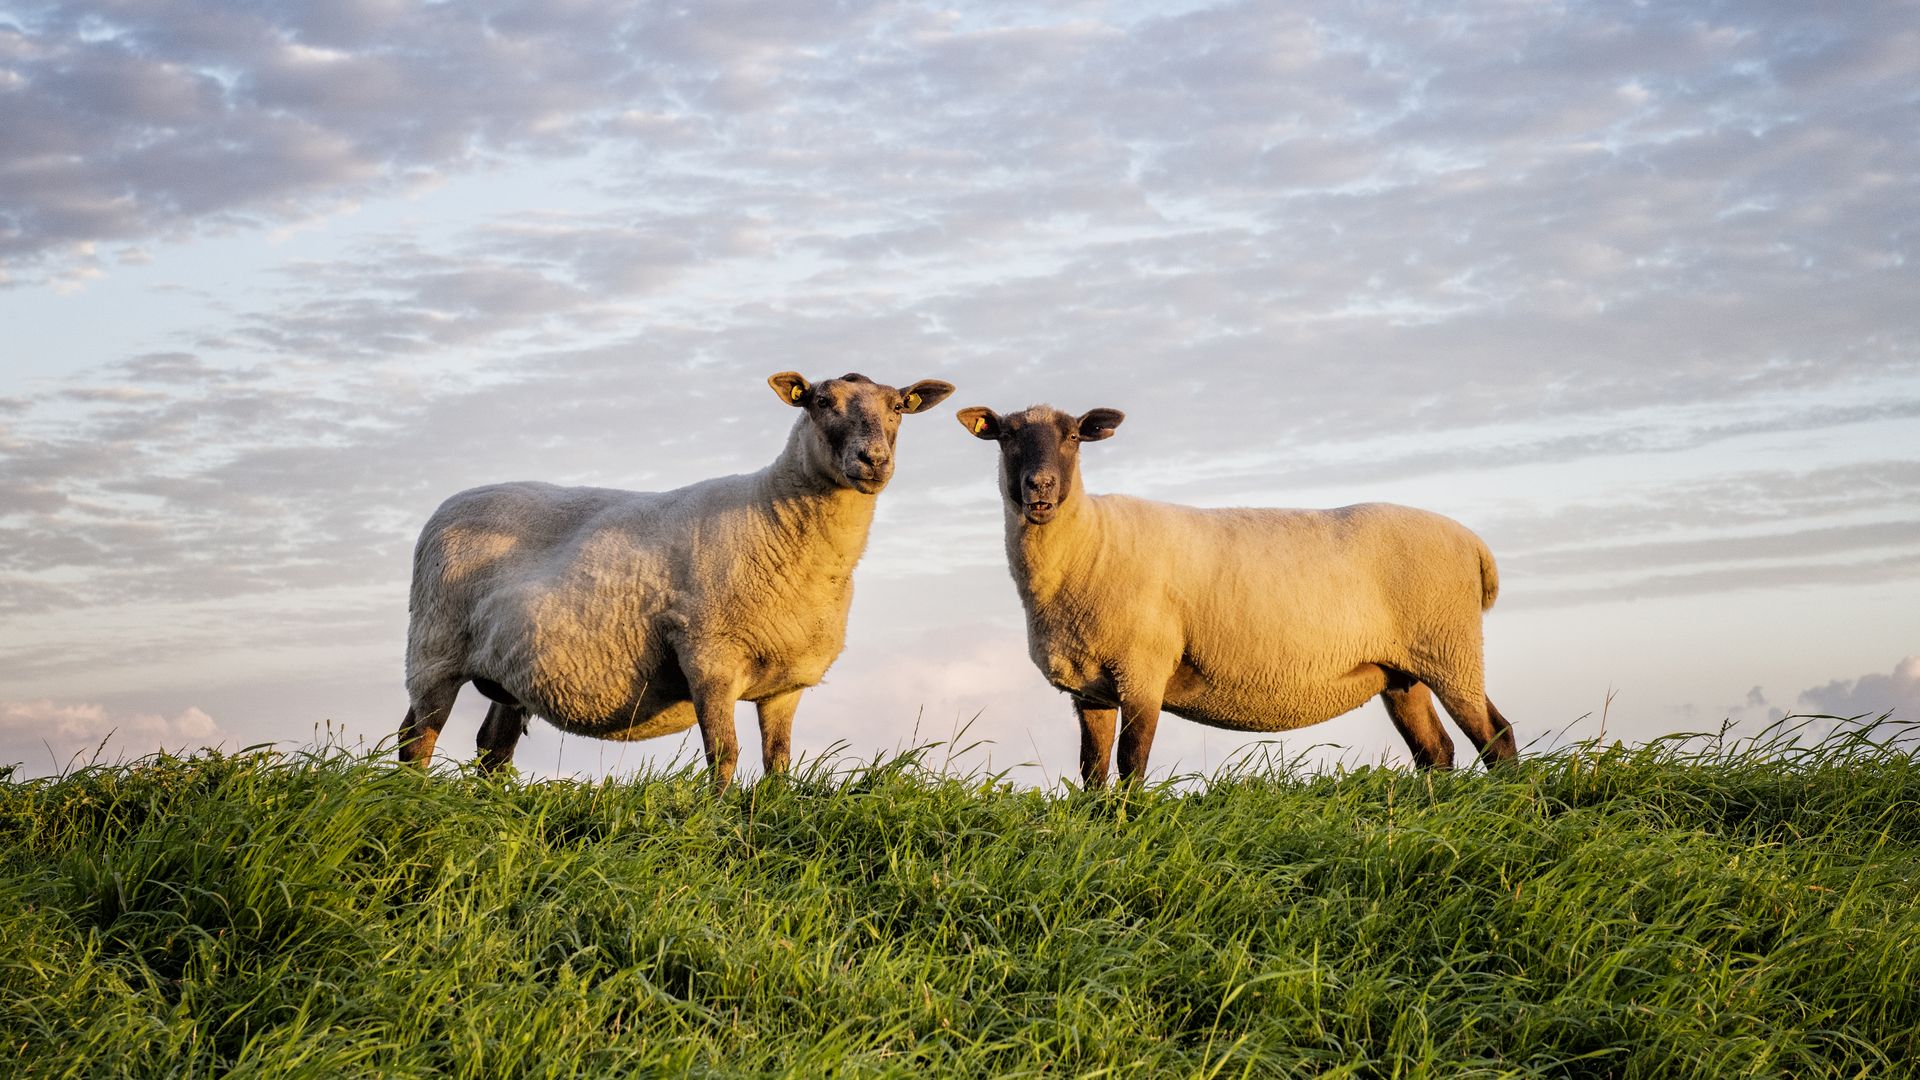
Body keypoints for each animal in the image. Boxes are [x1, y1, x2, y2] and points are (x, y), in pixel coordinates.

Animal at [400, 371, 955, 789]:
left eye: (899, 406)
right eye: (821, 401)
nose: (874, 460)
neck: (773, 515)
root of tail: (448, 506)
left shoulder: (785, 684)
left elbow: (778, 761)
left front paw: (774, 812)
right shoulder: (708, 655)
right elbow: (724, 753)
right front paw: (720, 819)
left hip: (508, 675)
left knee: (492, 750)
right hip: (434, 649)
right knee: (416, 739)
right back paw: (413, 798)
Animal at [955, 403, 1517, 788]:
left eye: (1073, 436)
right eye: (1006, 437)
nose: (1040, 487)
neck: (1091, 542)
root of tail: (1474, 544)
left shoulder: (1142, 669)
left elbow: (1131, 764)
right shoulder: (1091, 689)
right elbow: (1092, 773)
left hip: (1450, 649)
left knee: (1497, 736)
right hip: (1401, 670)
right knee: (1436, 751)